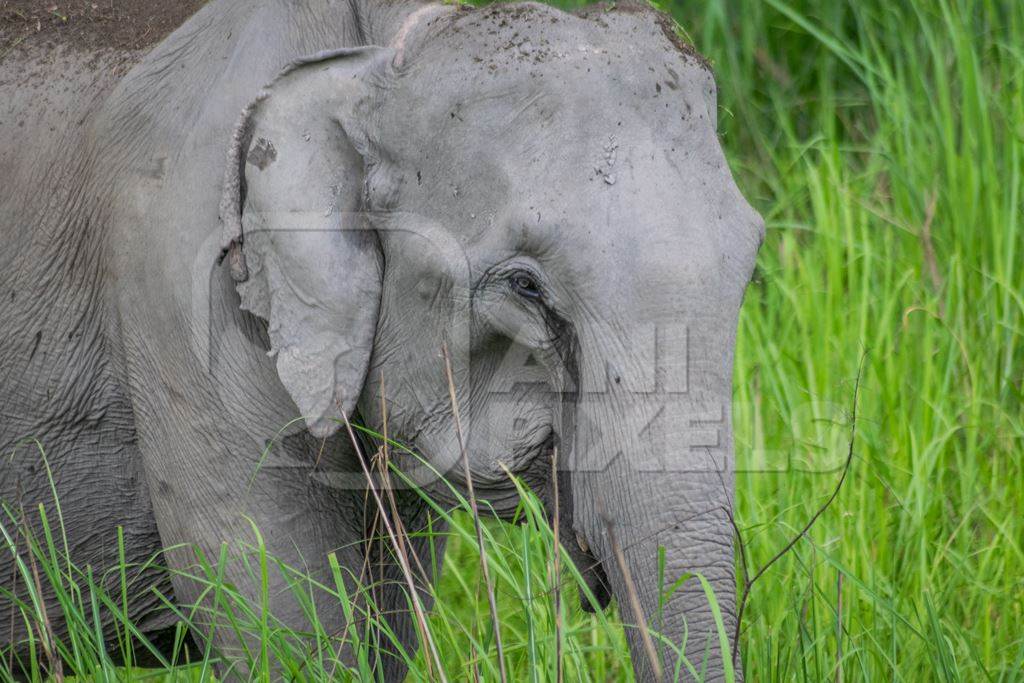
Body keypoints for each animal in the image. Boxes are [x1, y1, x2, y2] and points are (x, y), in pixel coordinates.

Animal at [2, 2, 761, 679]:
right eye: (527, 287)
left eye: (751, 265)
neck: (375, 61)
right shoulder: (180, 303)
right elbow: (287, 628)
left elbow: (388, 623)